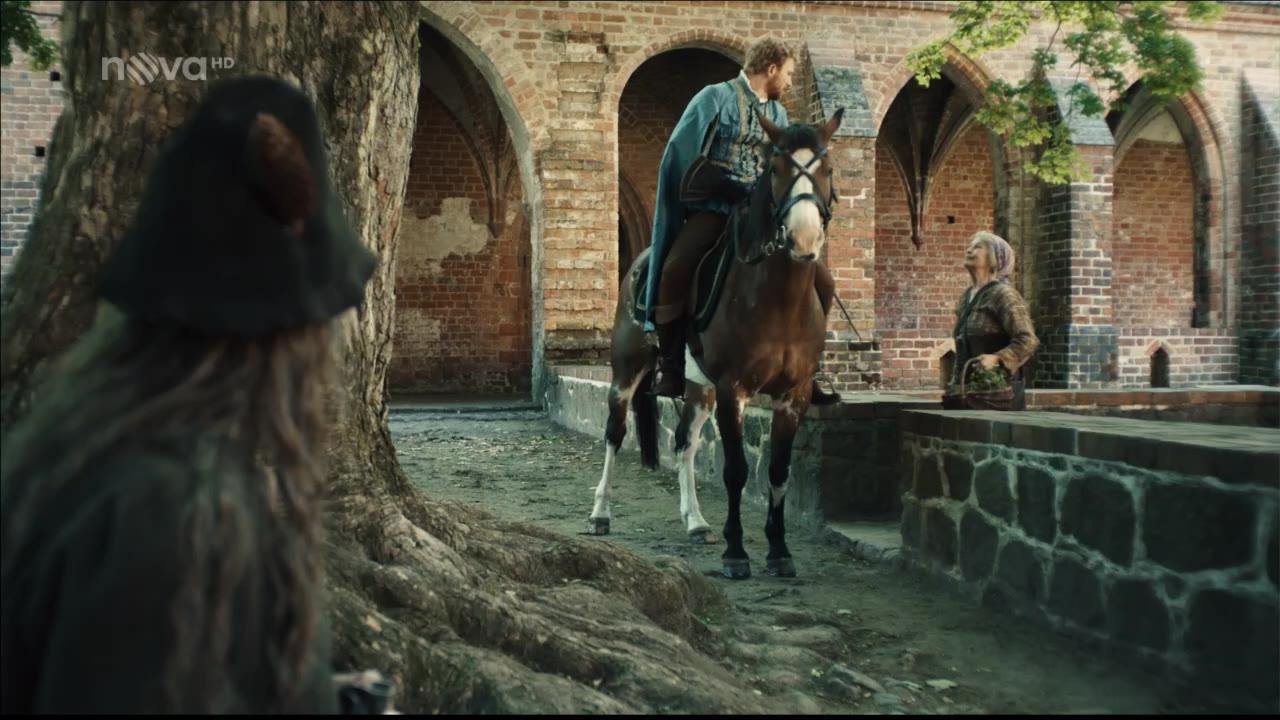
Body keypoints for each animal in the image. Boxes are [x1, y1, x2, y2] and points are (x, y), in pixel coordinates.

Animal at [591, 107, 849, 576]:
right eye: (776, 168)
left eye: (828, 169)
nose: (804, 239)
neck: (778, 301)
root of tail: (640, 260)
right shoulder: (734, 389)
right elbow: (736, 470)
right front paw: (736, 552)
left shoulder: (794, 394)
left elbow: (778, 472)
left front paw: (779, 551)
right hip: (627, 371)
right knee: (615, 433)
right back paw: (600, 513)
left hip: (698, 388)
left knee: (685, 443)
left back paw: (695, 521)